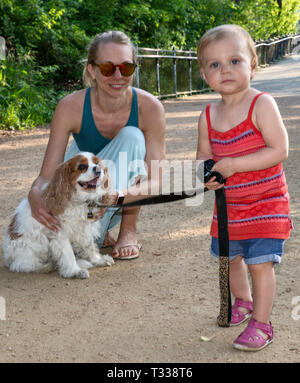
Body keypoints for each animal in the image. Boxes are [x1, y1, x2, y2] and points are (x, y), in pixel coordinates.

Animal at [2, 152, 115, 280]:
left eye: (97, 163)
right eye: (82, 166)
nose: (98, 169)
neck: (79, 201)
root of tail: (7, 259)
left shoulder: (86, 229)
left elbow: (90, 246)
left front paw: (98, 260)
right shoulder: (61, 234)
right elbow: (68, 255)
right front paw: (74, 271)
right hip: (28, 250)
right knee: (21, 265)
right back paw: (47, 266)